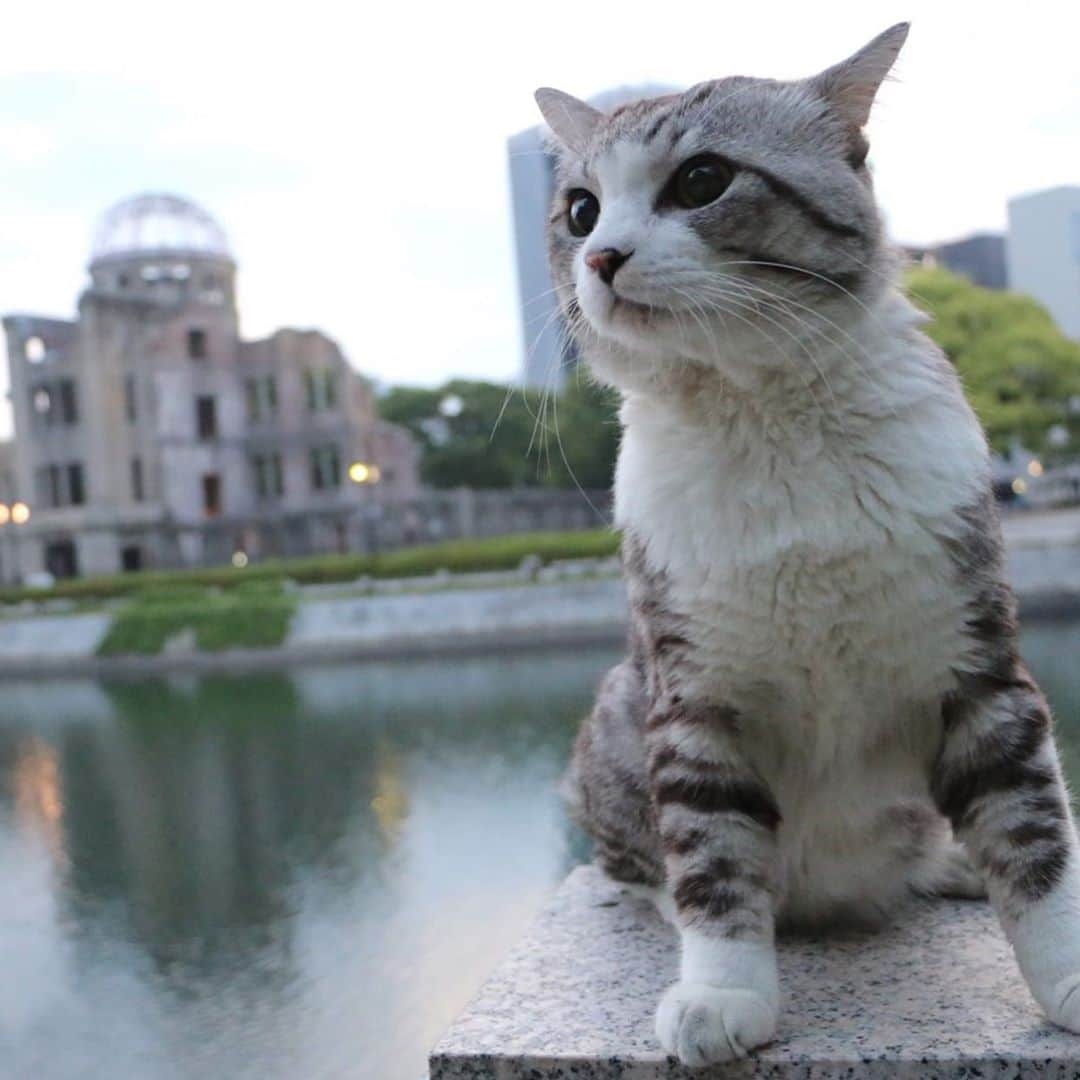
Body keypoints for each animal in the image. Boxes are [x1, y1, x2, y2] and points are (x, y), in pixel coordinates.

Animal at [535, 21, 1080, 1067]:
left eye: (702, 180)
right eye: (580, 211)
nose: (604, 256)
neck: (765, 415)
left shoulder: (980, 669)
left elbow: (1034, 838)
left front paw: (1066, 971)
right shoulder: (693, 693)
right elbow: (712, 859)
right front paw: (723, 993)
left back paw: (951, 864)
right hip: (614, 720)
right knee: (644, 868)